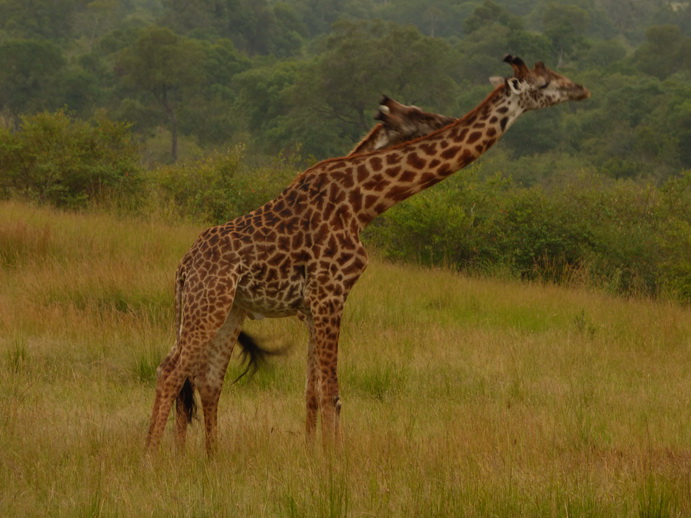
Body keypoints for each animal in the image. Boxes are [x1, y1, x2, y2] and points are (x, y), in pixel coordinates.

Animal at [146, 55, 588, 456]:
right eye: (545, 83)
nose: (582, 89)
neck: (363, 204)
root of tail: (184, 268)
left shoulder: (313, 305)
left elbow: (311, 390)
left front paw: (313, 453)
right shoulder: (330, 293)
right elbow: (331, 391)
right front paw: (332, 462)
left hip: (228, 310)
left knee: (205, 379)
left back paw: (207, 457)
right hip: (209, 303)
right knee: (171, 370)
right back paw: (152, 456)